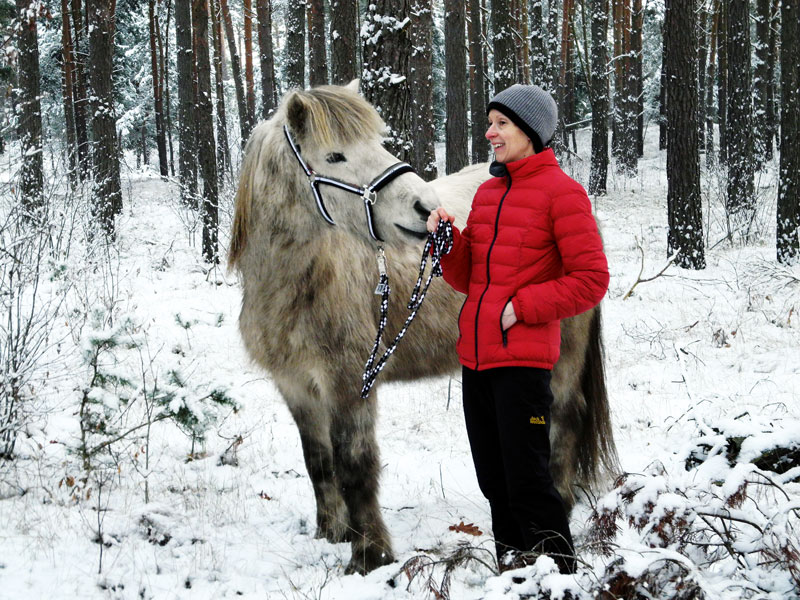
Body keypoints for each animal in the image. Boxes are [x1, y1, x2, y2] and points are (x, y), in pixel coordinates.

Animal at [228, 82, 616, 576]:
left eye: (379, 142)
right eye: (335, 156)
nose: (427, 209)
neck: (304, 282)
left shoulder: (350, 387)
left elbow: (355, 465)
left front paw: (369, 556)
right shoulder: (297, 387)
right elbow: (318, 462)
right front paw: (331, 533)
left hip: (562, 360)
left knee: (565, 419)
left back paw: (561, 503)